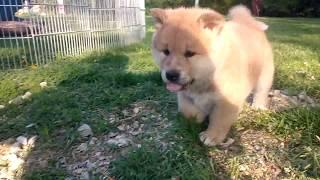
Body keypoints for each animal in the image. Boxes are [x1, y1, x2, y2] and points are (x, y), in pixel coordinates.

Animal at [151, 5, 274, 146]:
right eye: (166, 52)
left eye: (190, 53)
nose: (171, 75)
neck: (207, 78)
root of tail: (248, 23)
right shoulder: (184, 95)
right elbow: (188, 111)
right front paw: (197, 118)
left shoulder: (228, 99)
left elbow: (220, 120)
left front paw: (211, 136)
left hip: (264, 75)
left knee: (261, 91)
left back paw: (258, 106)